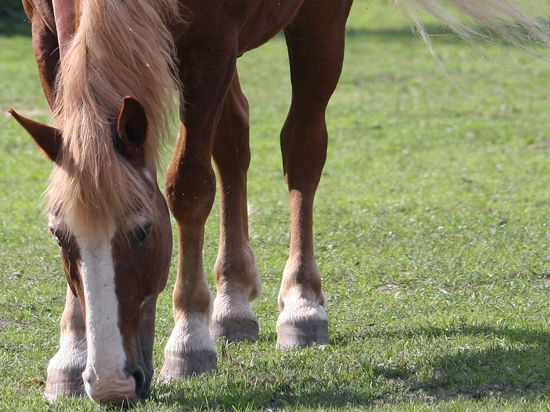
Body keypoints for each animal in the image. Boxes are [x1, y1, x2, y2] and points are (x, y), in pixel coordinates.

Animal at [9, 0, 550, 406]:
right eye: (59, 236)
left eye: (144, 231)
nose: (112, 383)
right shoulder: (46, 34)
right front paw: (72, 355)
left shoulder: (209, 44)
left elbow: (189, 187)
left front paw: (189, 340)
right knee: (235, 137)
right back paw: (231, 301)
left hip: (316, 24)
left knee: (303, 147)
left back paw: (302, 306)